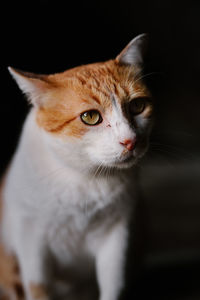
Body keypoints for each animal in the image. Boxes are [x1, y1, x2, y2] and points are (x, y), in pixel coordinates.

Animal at [0, 33, 153, 300]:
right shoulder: (31, 239)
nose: (130, 141)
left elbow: (113, 285)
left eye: (137, 106)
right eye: (90, 117)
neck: (85, 179)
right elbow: (38, 287)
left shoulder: (117, 236)